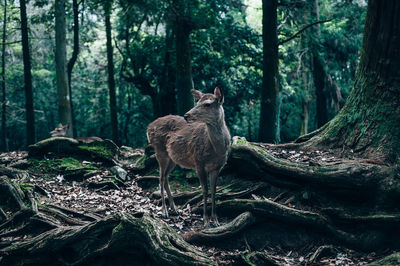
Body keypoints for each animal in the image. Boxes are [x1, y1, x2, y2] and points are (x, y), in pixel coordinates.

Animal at [147, 87, 230, 227]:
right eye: (197, 102)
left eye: (207, 104)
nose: (186, 115)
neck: (216, 150)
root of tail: (148, 127)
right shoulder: (199, 162)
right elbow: (204, 190)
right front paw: (206, 221)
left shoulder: (218, 167)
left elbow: (214, 190)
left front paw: (216, 220)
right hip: (160, 151)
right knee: (161, 178)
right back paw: (164, 212)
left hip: (172, 158)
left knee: (166, 177)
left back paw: (175, 209)